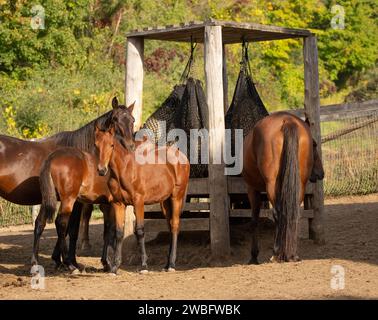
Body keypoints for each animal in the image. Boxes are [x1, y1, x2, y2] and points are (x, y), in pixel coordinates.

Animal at [31, 100, 136, 276]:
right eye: (115, 119)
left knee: (40, 222)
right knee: (61, 223)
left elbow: (106, 231)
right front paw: (108, 263)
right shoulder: (110, 204)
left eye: (133, 120)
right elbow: (110, 230)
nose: (130, 146)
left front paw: (106, 262)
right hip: (68, 200)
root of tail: (52, 158)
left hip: (49, 199)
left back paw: (36, 263)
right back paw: (69, 265)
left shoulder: (104, 205)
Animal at [93, 120, 190, 272]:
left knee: (174, 225)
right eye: (96, 145)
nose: (102, 170)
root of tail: (182, 157)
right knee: (169, 226)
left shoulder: (138, 202)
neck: (125, 169)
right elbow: (119, 233)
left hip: (176, 198)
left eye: (111, 145)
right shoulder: (118, 204)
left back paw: (172, 265)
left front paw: (144, 265)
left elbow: (139, 231)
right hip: (165, 202)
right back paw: (167, 263)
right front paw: (115, 267)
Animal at [244, 111, 324, 264]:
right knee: (293, 213)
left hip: (271, 185)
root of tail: (288, 121)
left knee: (278, 213)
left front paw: (254, 255)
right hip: (300, 184)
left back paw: (277, 253)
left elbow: (254, 221)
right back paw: (292, 254)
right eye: (314, 144)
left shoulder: (252, 189)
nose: (321, 173)